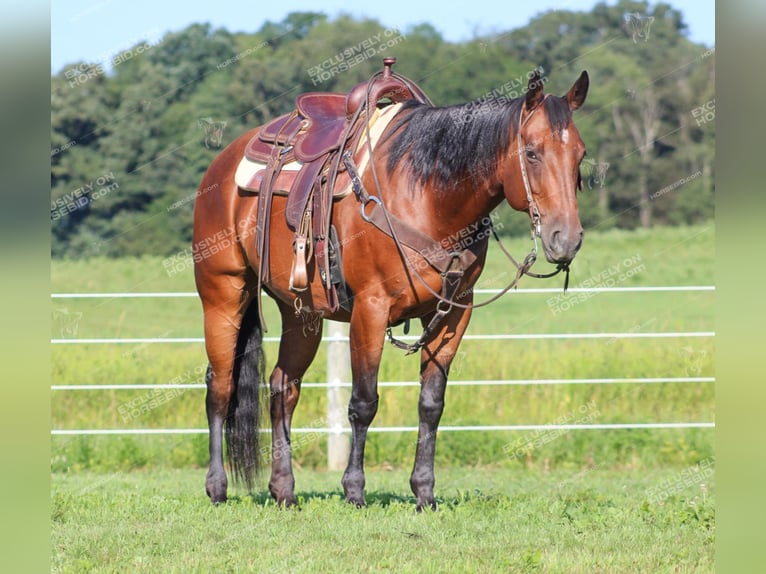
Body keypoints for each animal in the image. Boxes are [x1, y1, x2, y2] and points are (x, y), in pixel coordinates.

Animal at [195, 65, 592, 510]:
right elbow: (363, 402)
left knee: (283, 386)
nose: (566, 238)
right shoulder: (370, 309)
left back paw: (284, 490)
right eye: (532, 153)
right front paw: (354, 490)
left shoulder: (454, 313)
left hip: (301, 313)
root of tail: (224, 162)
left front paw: (424, 492)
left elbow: (431, 404)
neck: (426, 196)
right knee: (221, 386)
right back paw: (217, 487)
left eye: (580, 155)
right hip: (223, 294)